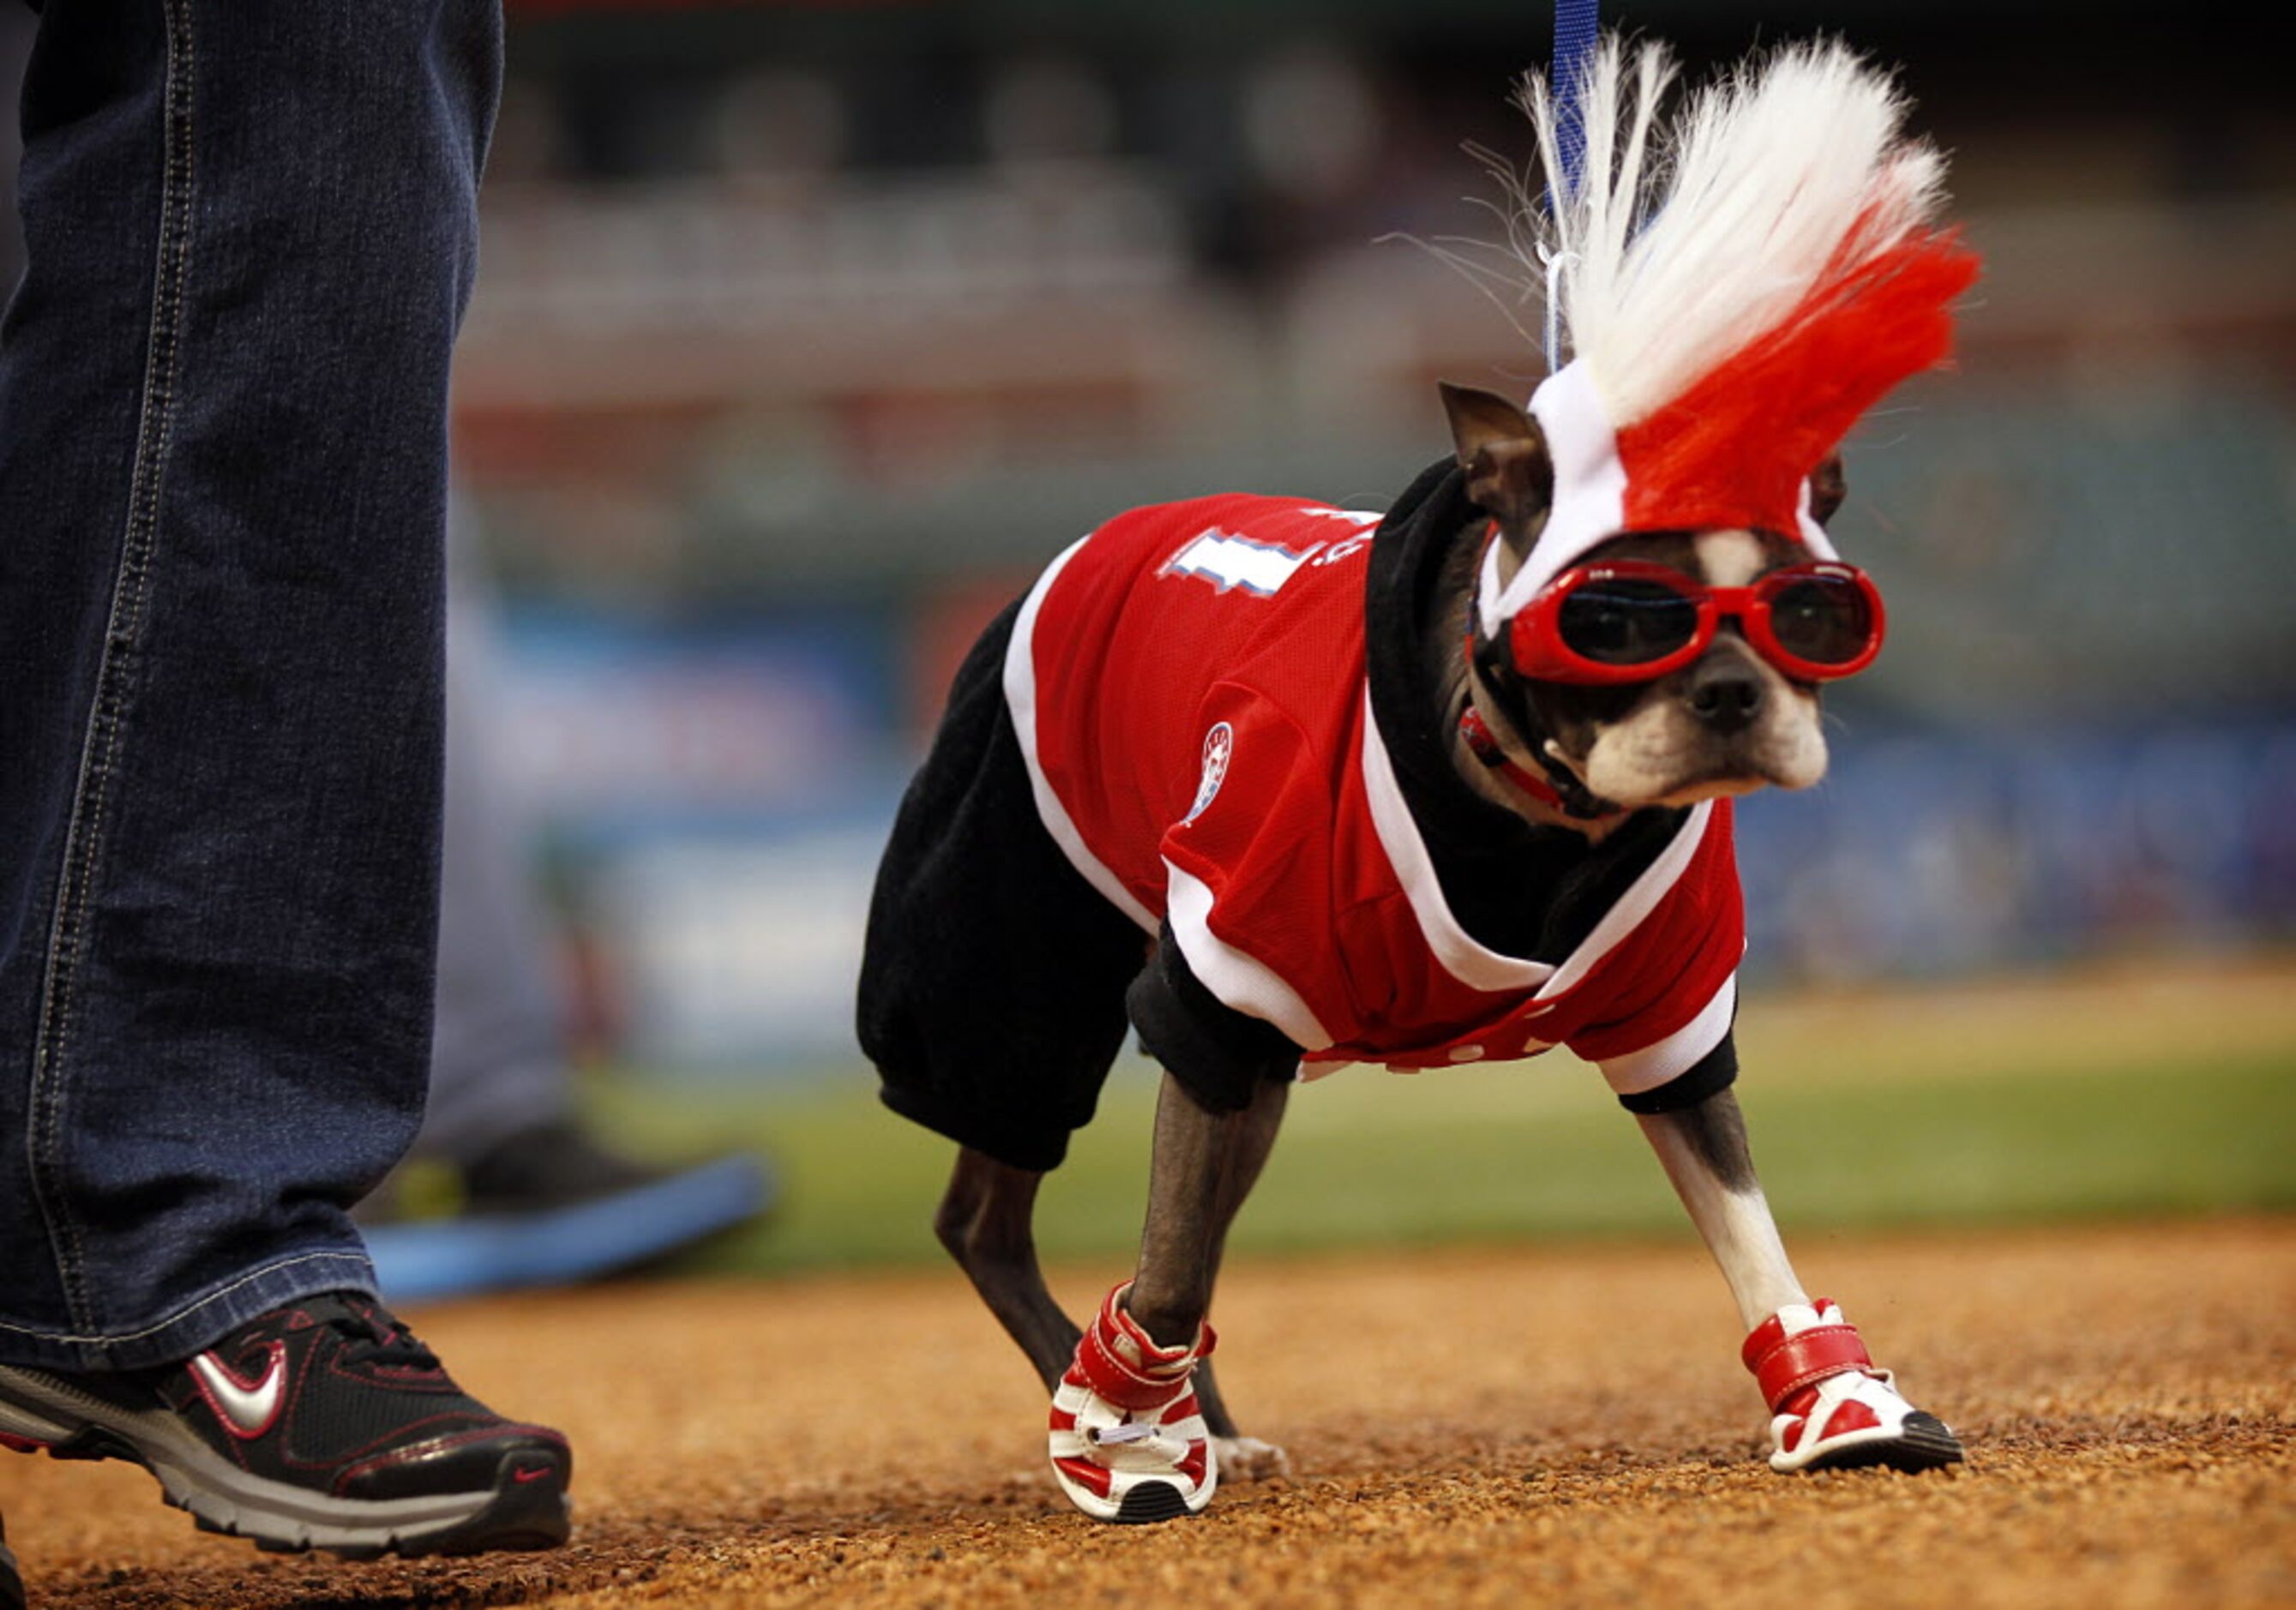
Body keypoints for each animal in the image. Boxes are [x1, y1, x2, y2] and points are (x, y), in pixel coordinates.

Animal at [858, 37, 1974, 1516]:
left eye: (1814, 614)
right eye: (1615, 617)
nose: (1734, 692)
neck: (1539, 813)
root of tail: (1095, 536)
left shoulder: (1670, 1021)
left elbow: (1746, 1225)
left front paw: (1834, 1398)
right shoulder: (1218, 993)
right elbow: (1167, 1269)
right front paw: (1130, 1439)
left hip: (1243, 1069)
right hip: (1014, 976)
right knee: (992, 1215)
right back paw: (1138, 1407)